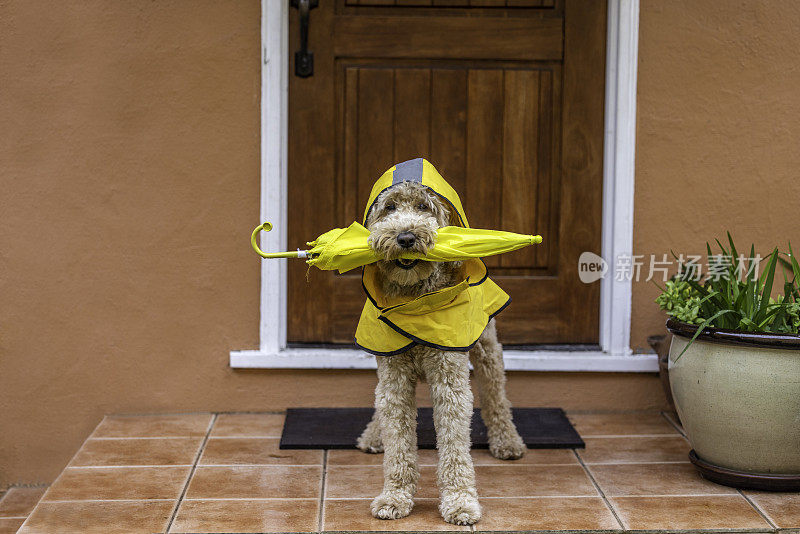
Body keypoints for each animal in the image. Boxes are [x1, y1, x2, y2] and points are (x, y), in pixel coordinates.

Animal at [358, 183, 524, 528]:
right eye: (389, 207)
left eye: (424, 206)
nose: (406, 237)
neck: (414, 299)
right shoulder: (393, 373)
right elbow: (397, 438)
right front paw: (394, 496)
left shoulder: (450, 376)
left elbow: (454, 443)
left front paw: (460, 502)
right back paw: (373, 435)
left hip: (487, 347)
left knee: (496, 394)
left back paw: (507, 441)